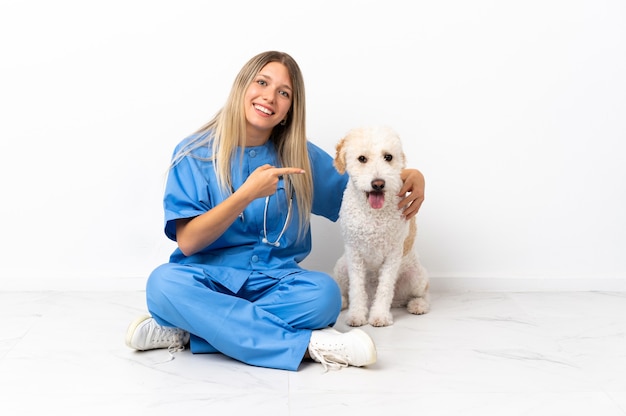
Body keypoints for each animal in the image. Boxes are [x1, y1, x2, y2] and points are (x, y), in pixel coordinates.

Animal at [332, 125, 428, 326]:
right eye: (362, 158)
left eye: (388, 157)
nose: (378, 183)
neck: (373, 214)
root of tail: (398, 301)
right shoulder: (354, 254)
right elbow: (356, 290)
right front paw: (356, 315)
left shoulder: (392, 255)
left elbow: (384, 289)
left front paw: (380, 316)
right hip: (341, 267)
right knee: (349, 291)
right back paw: (342, 301)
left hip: (417, 276)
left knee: (423, 293)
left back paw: (418, 305)